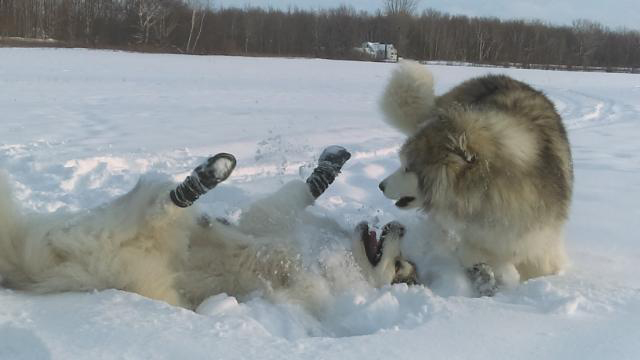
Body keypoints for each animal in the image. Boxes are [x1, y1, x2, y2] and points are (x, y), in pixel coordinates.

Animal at [0, 146, 416, 312]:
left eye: (400, 269)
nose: (399, 225)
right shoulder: (268, 220)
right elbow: (297, 195)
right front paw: (326, 168)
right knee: (166, 207)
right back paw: (209, 175)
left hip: (144, 272)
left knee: (158, 209)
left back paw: (205, 177)